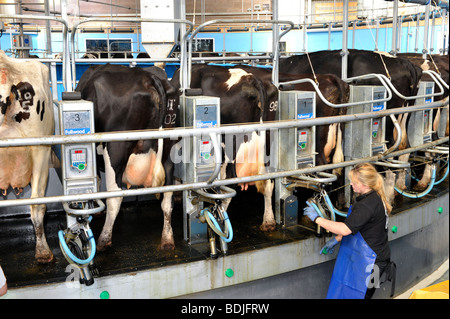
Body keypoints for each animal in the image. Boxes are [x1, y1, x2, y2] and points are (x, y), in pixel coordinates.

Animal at [74, 63, 178, 252]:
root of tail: (149, 78)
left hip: (116, 149)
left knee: (115, 197)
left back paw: (104, 240)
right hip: (168, 150)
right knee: (168, 197)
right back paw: (167, 240)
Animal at [172, 63, 278, 231]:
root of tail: (252, 79)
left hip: (229, 151)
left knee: (227, 188)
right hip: (268, 146)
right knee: (269, 183)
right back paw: (268, 221)